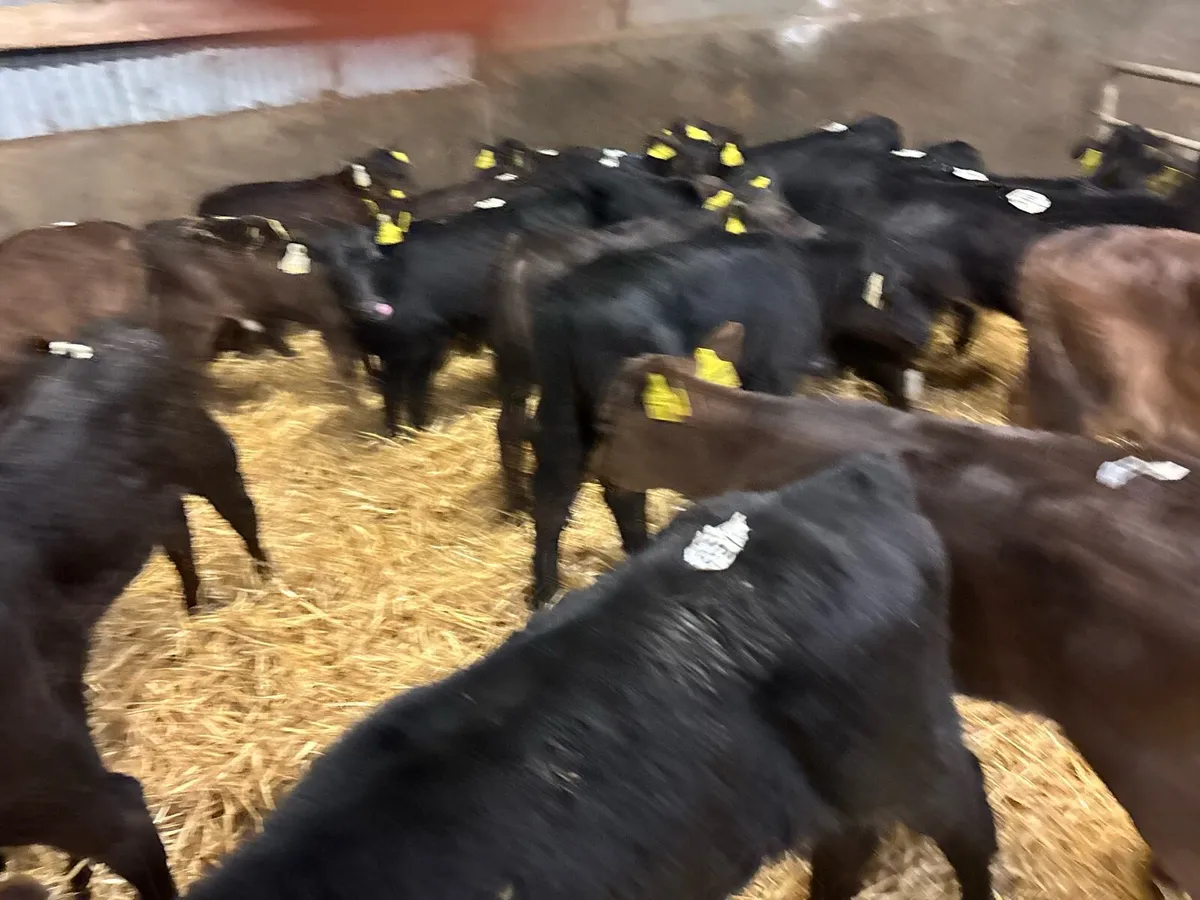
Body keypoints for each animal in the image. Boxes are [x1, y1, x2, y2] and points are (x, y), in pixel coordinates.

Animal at [0, 319, 271, 900]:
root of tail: (124, 333)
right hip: (153, 499)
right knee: (179, 535)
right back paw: (194, 612)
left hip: (207, 452)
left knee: (242, 513)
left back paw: (268, 583)